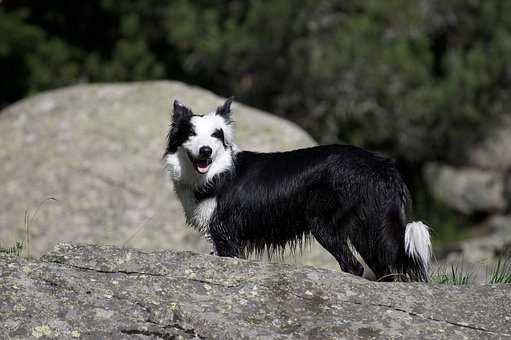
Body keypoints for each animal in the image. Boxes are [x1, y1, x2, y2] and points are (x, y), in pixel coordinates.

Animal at [164, 97, 432, 282]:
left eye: (215, 135)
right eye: (191, 134)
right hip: (369, 233)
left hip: (324, 225)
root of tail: (383, 165)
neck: (218, 173)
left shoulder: (226, 235)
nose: (206, 151)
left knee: (354, 266)